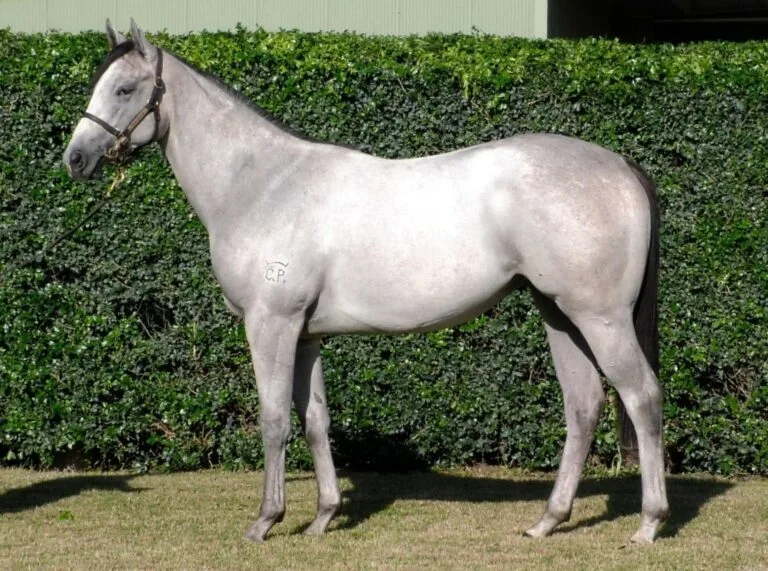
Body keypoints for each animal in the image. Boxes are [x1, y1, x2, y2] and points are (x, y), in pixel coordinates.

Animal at [64, 19, 668, 544]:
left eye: (124, 88)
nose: (75, 158)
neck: (262, 184)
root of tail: (619, 167)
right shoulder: (307, 335)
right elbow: (315, 421)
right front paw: (322, 517)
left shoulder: (271, 325)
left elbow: (274, 421)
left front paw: (266, 520)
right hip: (559, 315)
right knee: (583, 407)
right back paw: (548, 521)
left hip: (600, 318)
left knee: (642, 397)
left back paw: (648, 523)